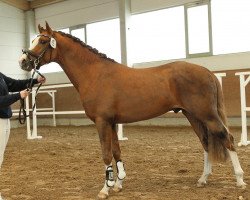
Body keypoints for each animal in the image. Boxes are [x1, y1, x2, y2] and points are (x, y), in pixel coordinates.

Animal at [18, 22, 245, 198]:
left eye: (43, 41)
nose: (23, 62)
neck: (95, 74)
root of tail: (207, 72)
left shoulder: (102, 121)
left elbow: (106, 154)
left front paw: (105, 189)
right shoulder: (112, 122)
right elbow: (117, 151)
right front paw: (118, 184)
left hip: (207, 115)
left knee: (228, 139)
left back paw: (240, 180)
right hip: (193, 116)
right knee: (206, 143)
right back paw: (203, 179)